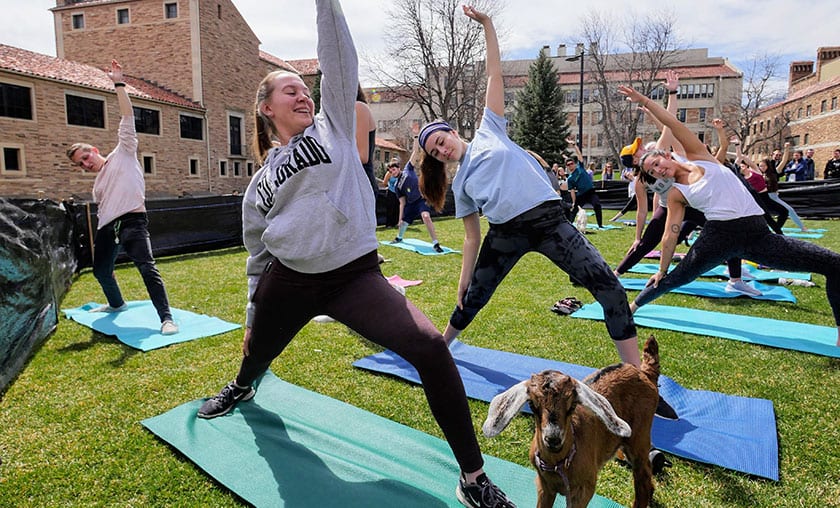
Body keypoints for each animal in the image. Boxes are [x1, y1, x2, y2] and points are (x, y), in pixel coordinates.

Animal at [482, 336, 660, 506]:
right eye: (532, 404)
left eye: (572, 405)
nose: (553, 439)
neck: (558, 464)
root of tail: (644, 373)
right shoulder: (543, 485)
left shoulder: (585, 489)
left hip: (639, 436)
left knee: (643, 477)